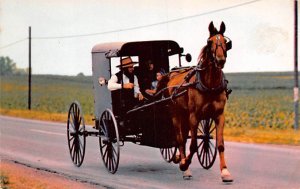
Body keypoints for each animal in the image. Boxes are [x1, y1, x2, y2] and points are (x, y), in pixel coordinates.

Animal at [158, 21, 233, 182]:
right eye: (210, 42)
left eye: (226, 42)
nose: (220, 60)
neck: (210, 85)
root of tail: (172, 74)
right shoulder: (194, 116)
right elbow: (192, 145)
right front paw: (184, 165)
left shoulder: (219, 116)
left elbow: (220, 144)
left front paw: (225, 171)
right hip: (177, 115)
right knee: (180, 139)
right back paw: (184, 165)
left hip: (185, 117)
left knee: (184, 139)